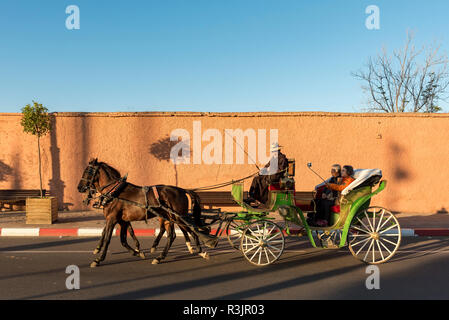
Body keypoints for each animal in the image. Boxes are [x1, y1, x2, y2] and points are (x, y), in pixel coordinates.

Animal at [77, 158, 210, 268]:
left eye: (88, 171)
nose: (79, 187)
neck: (114, 192)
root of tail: (182, 190)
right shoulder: (123, 220)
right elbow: (123, 239)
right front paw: (137, 252)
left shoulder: (112, 218)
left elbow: (108, 238)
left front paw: (98, 259)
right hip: (169, 217)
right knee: (173, 235)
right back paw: (161, 256)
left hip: (177, 217)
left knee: (190, 230)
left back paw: (200, 250)